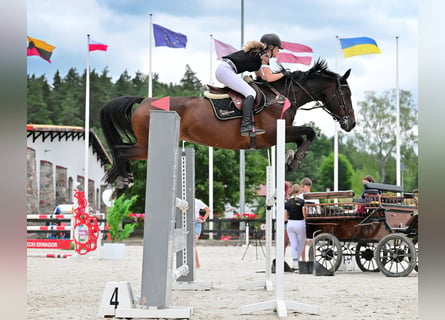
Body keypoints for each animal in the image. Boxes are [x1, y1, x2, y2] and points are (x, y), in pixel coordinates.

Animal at [99, 58, 354, 196]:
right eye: (346, 94)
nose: (351, 124)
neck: (282, 95)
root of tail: (143, 101)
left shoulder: (282, 133)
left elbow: (303, 136)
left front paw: (292, 160)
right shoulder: (272, 134)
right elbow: (309, 132)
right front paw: (296, 159)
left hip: (146, 145)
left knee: (122, 150)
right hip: (148, 146)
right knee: (121, 151)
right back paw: (123, 182)